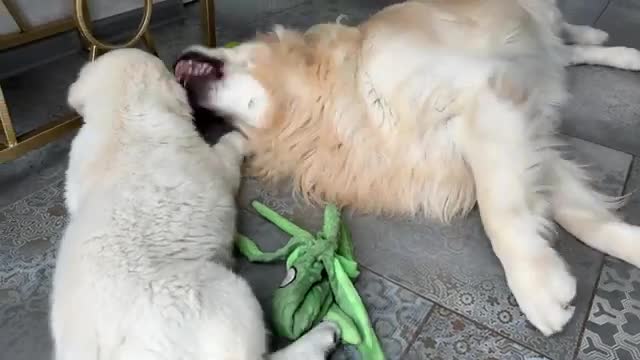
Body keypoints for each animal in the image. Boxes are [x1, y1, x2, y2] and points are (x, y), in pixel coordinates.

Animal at [50, 48, 340, 360]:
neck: (121, 115)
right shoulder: (212, 166)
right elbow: (227, 151)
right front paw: (240, 136)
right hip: (224, 297)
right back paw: (320, 337)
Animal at [174, 0, 640, 338]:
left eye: (229, 47)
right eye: (224, 126)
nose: (178, 65)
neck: (328, 99)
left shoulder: (483, 97)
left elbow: (499, 211)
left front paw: (536, 287)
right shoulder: (518, 135)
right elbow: (582, 218)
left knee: (564, 30)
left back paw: (602, 36)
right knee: (569, 51)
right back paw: (623, 52)